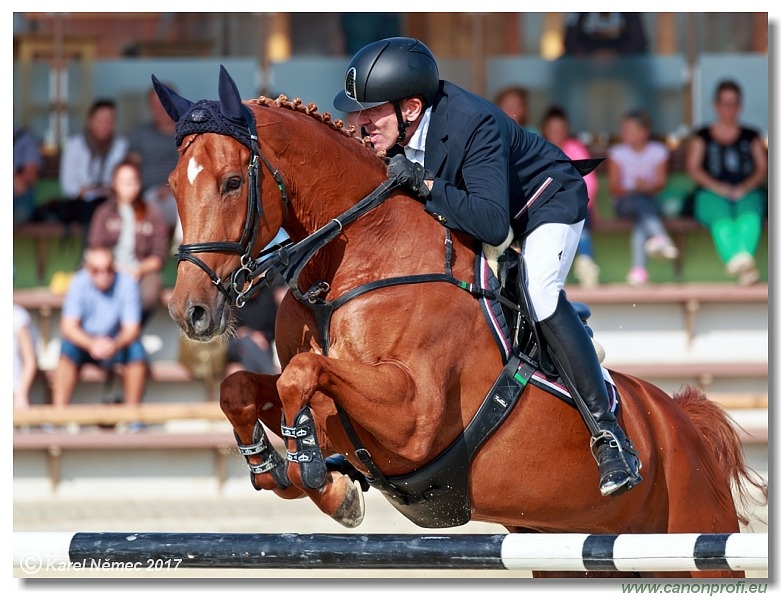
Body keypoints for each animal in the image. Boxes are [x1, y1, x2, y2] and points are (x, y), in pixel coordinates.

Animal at [152, 69, 760, 576]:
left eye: (232, 182)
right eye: (173, 185)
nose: (191, 312)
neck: (353, 258)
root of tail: (682, 420)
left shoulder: (416, 417)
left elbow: (303, 375)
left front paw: (323, 479)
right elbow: (244, 387)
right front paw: (282, 469)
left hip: (696, 540)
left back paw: (616, 458)